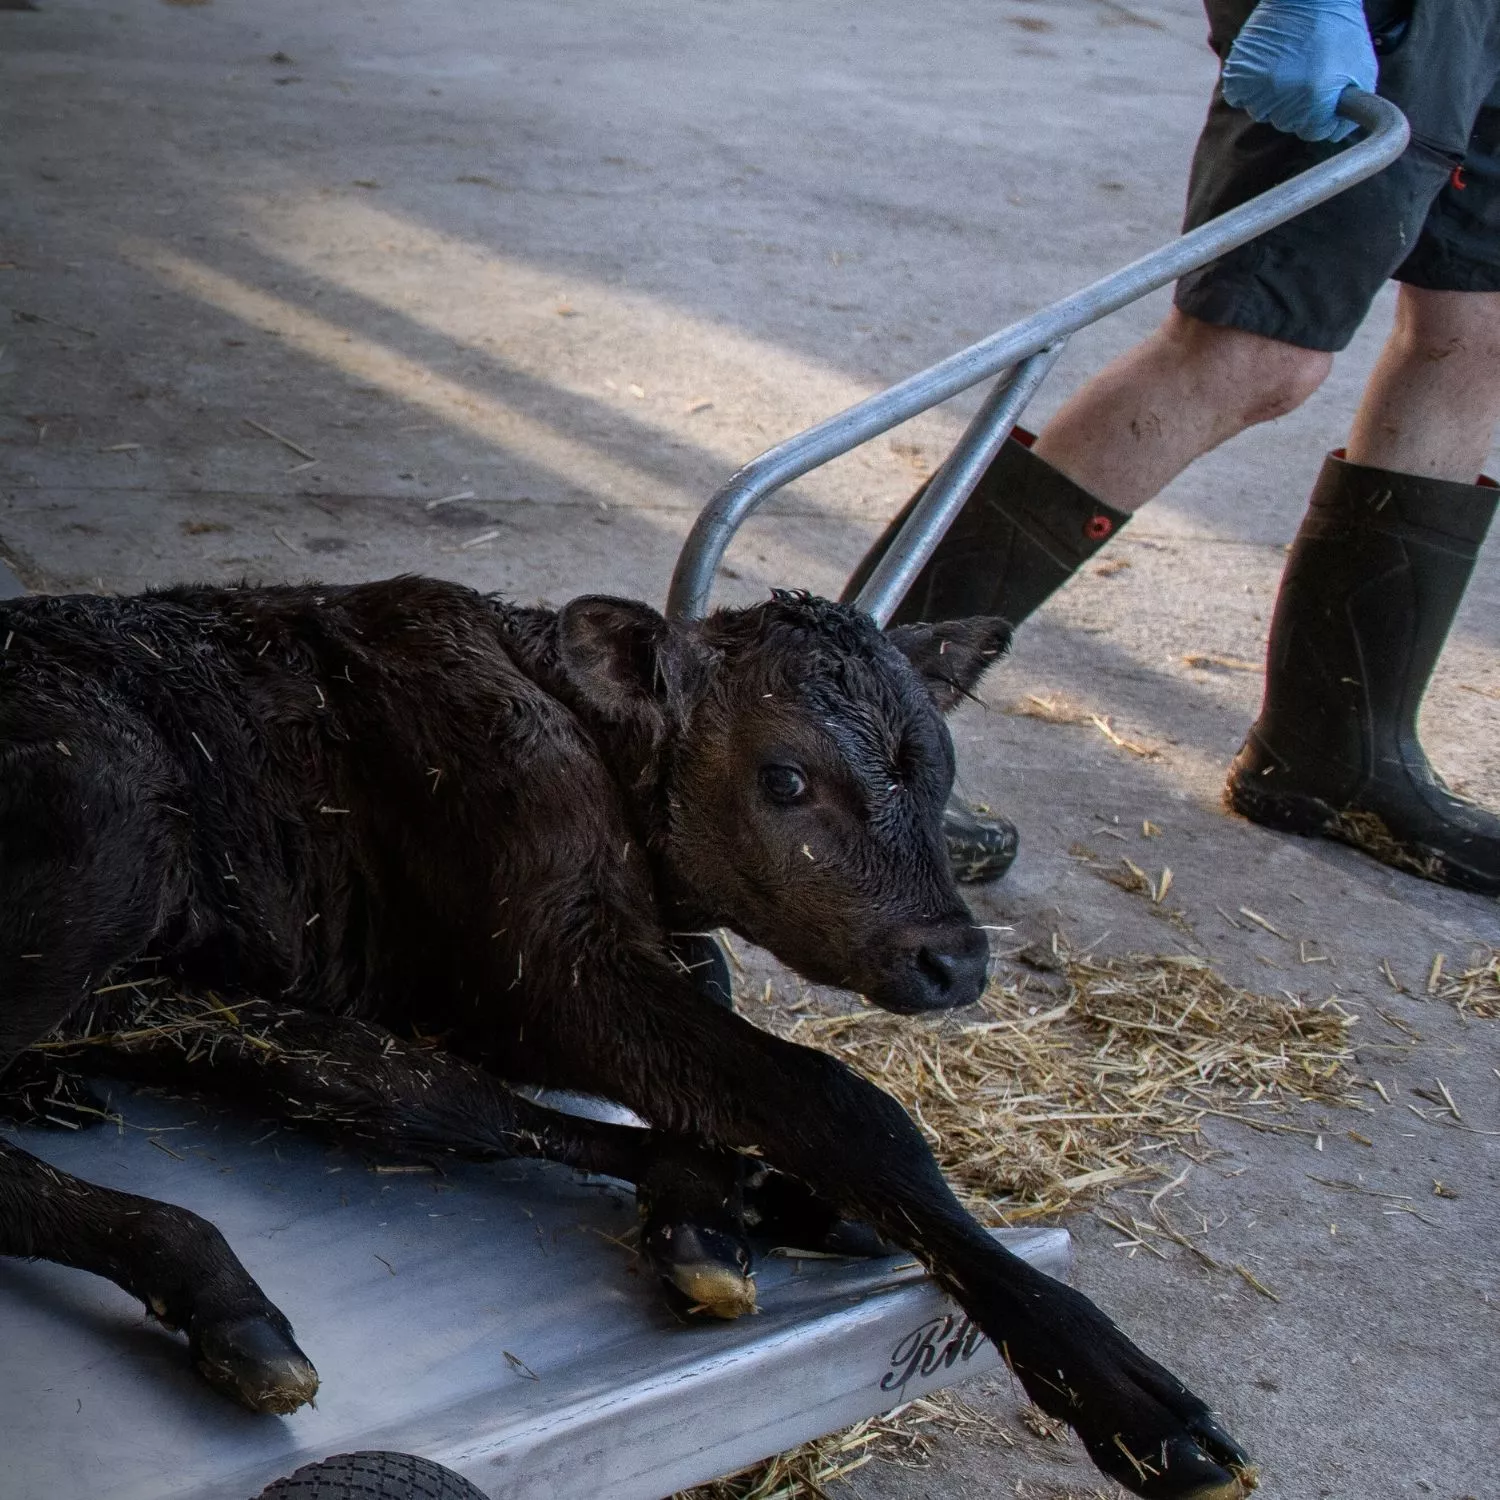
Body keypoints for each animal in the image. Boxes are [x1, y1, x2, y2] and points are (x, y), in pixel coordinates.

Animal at [0, 577, 1253, 1499]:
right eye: (785, 777)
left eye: (942, 770)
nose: (955, 957)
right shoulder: (544, 962)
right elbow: (837, 1098)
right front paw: (1136, 1402)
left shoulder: (502, 978)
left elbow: (716, 1025)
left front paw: (712, 1209)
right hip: (108, 827)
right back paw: (213, 1287)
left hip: (184, 992)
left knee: (417, 1098)